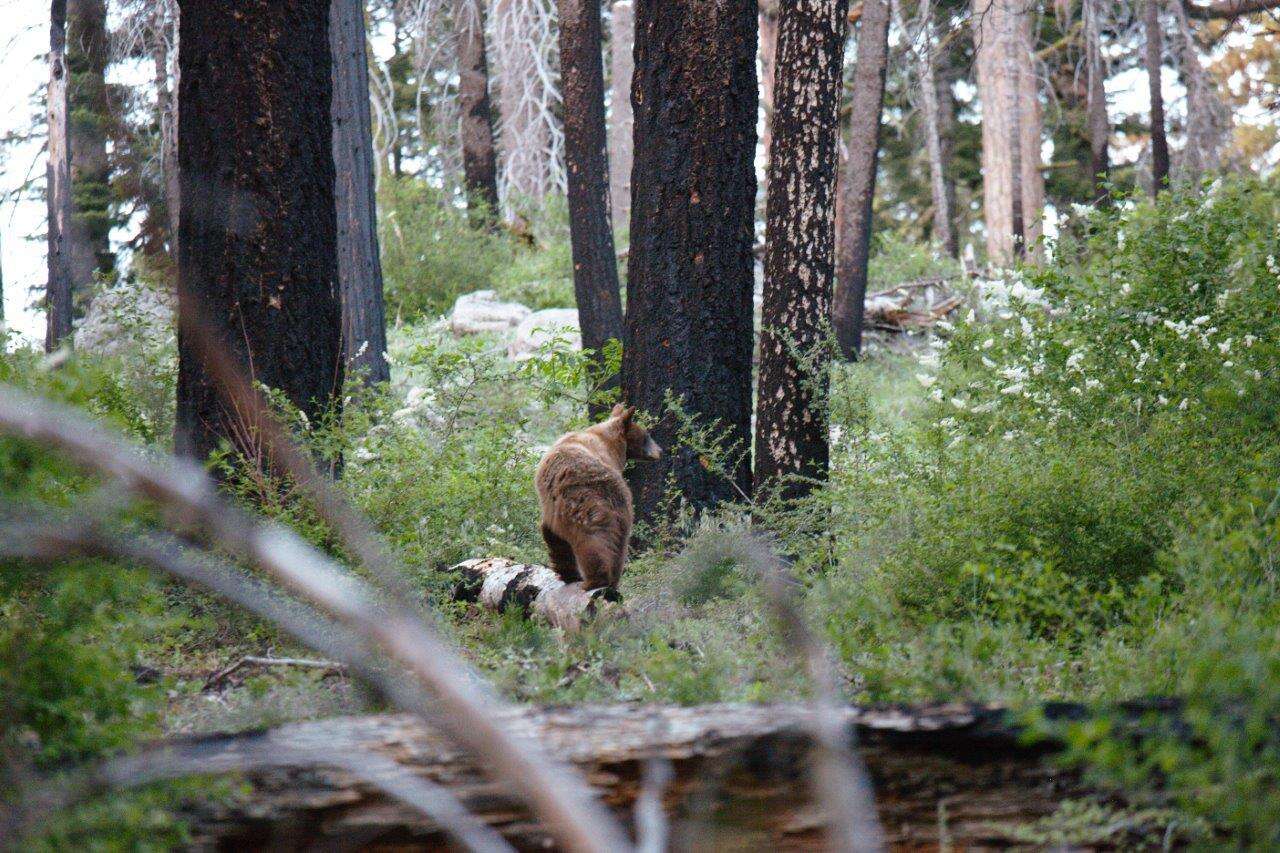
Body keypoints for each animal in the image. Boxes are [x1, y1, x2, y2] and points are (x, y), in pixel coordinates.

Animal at [535, 402, 665, 589]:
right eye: (647, 435)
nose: (660, 451)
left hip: (561, 509)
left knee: (559, 538)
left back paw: (576, 576)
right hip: (598, 503)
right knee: (606, 542)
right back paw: (602, 581)